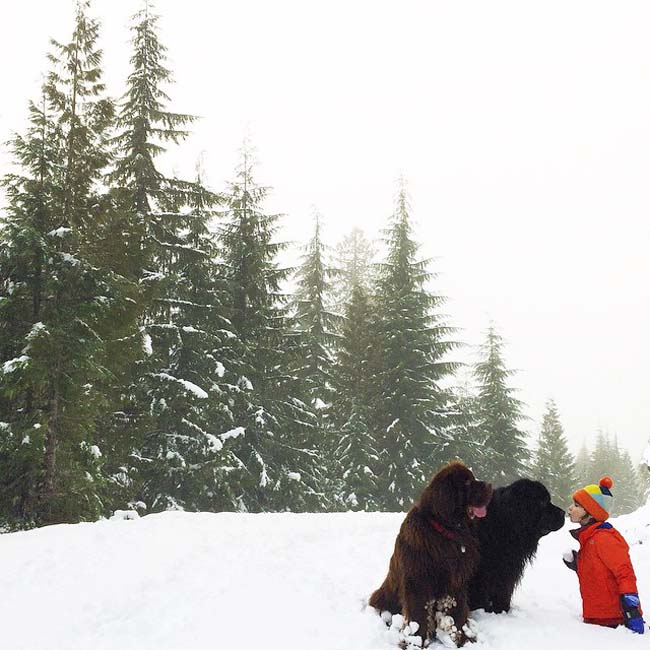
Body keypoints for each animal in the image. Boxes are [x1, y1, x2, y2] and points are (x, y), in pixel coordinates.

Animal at [368, 460, 488, 644]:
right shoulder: (418, 581)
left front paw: (460, 638)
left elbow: (456, 611)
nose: (490, 485)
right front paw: (415, 641)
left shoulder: (454, 582)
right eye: (467, 482)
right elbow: (418, 614)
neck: (444, 531)